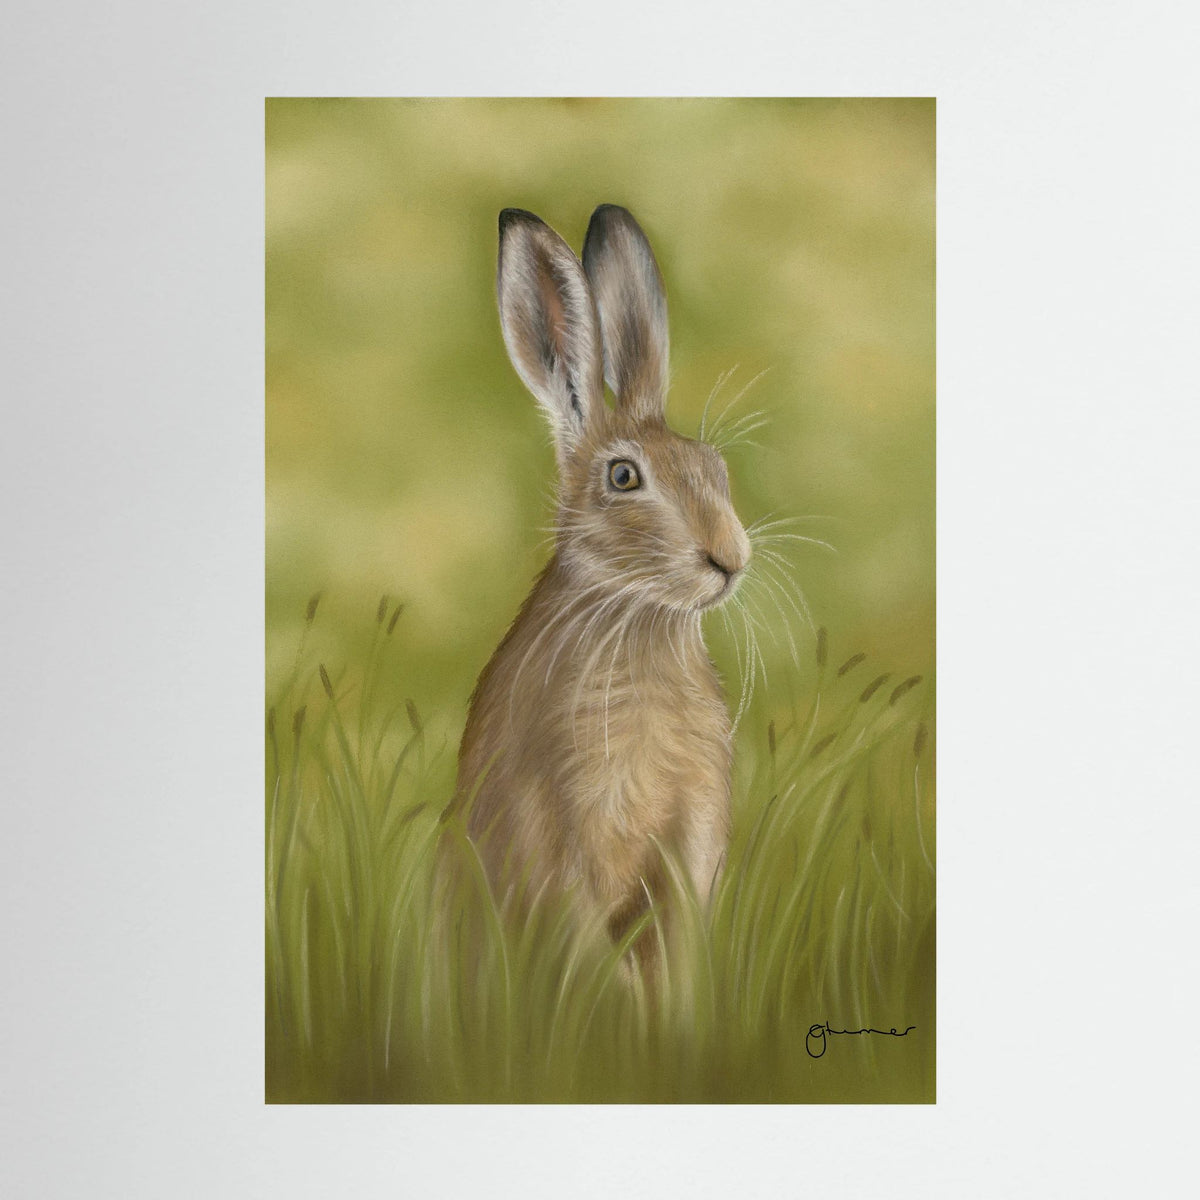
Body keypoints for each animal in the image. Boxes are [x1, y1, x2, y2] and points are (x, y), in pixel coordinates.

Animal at [450, 204, 751, 976]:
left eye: (714, 466)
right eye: (622, 477)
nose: (730, 558)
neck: (640, 620)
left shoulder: (691, 842)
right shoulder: (562, 836)